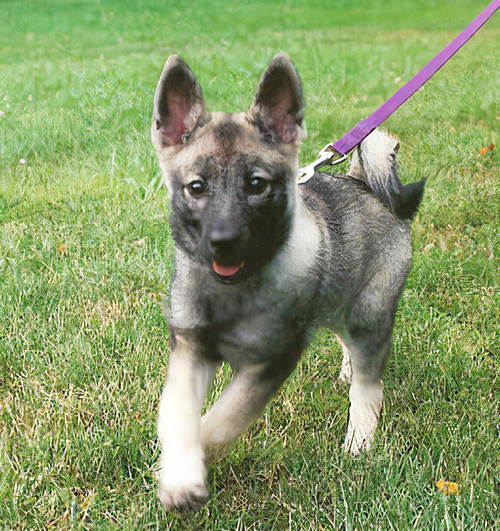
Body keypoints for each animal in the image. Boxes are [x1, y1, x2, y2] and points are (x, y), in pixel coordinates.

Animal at [150, 53, 424, 512]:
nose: (223, 242)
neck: (236, 291)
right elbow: (179, 412)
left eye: (257, 185)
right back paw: (347, 373)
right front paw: (178, 469)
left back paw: (359, 442)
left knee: (370, 386)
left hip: (370, 311)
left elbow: (224, 419)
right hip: (338, 300)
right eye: (196, 187)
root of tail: (362, 182)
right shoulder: (190, 346)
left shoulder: (273, 360)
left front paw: (192, 465)